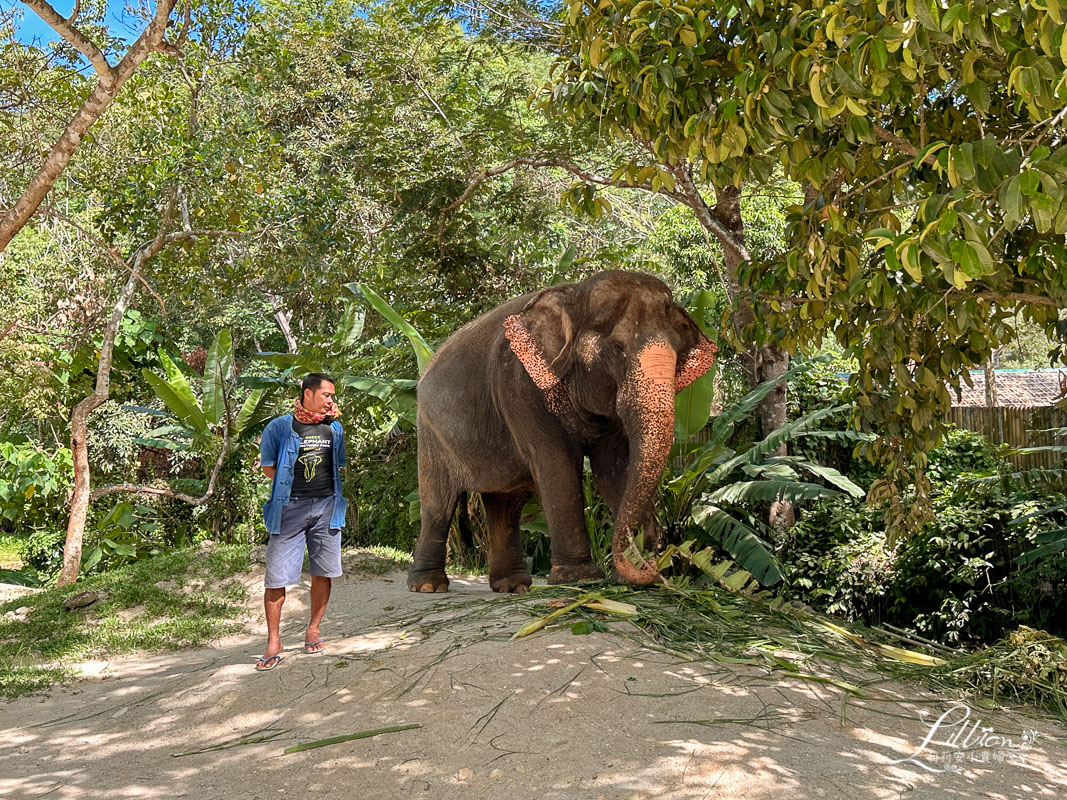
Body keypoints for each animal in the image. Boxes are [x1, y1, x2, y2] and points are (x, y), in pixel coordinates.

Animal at [405, 273, 717, 593]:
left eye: (678, 354)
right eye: (617, 348)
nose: (657, 559)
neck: (575, 293)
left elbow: (613, 469)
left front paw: (626, 577)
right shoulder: (519, 384)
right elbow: (557, 463)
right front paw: (581, 579)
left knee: (505, 506)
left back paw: (513, 587)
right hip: (430, 433)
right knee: (438, 504)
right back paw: (428, 586)